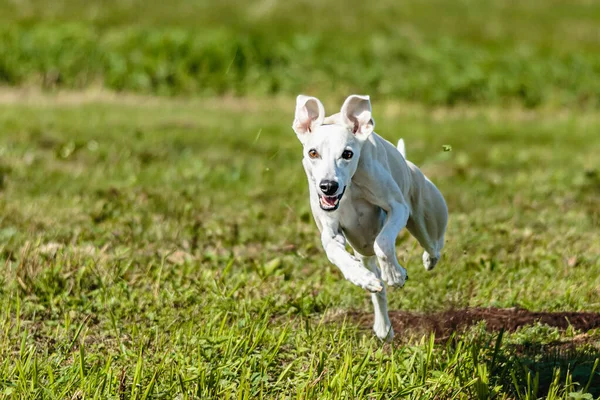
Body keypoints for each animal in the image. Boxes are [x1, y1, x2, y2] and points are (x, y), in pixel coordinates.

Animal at [292, 94, 448, 340]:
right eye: (313, 152)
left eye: (347, 154)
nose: (328, 186)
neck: (350, 188)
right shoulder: (330, 229)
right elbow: (334, 250)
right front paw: (360, 276)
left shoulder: (397, 208)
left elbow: (383, 243)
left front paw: (395, 275)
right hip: (362, 246)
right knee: (378, 288)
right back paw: (384, 328)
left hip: (425, 218)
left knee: (433, 244)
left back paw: (427, 260)